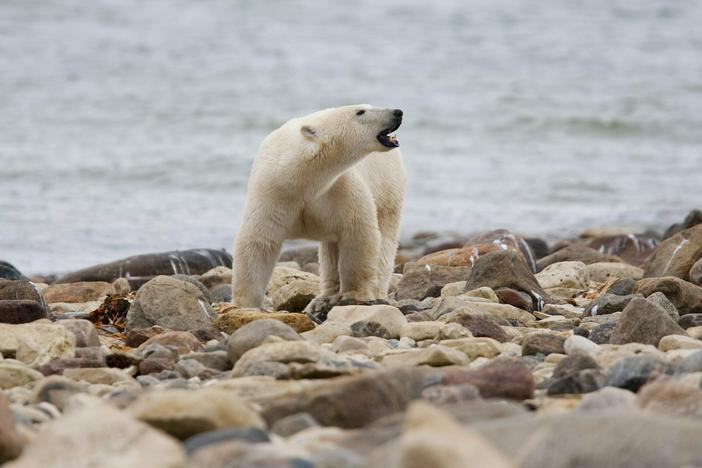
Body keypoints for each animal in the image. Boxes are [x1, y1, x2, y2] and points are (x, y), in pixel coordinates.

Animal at [232, 103, 408, 312]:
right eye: (360, 112)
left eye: (366, 107)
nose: (397, 112)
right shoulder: (272, 194)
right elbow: (259, 242)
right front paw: (245, 304)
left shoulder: (339, 188)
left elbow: (358, 233)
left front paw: (354, 294)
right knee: (330, 249)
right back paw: (324, 297)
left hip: (388, 188)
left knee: (385, 239)